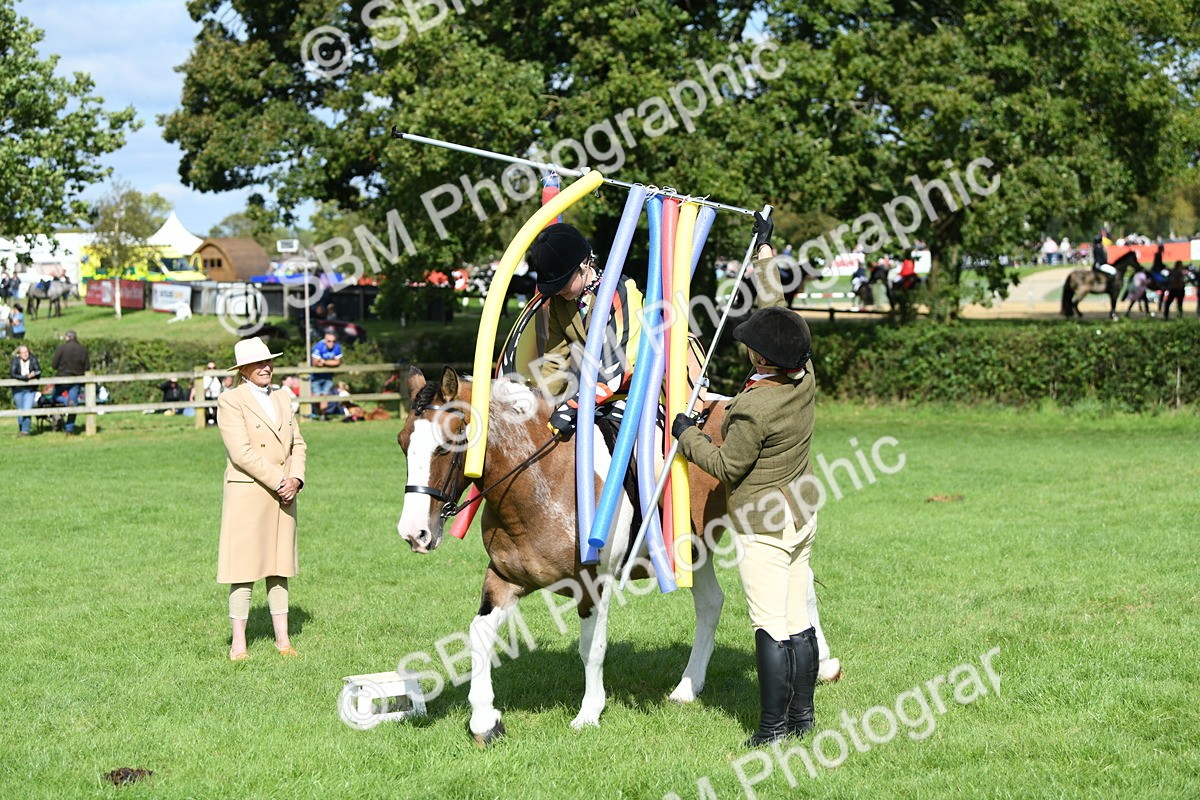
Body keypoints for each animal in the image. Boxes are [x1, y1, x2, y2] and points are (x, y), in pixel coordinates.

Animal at [396, 366, 732, 744]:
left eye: (447, 445)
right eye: (402, 442)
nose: (414, 533)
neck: (543, 480)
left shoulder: (593, 584)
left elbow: (592, 648)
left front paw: (589, 713)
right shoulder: (504, 578)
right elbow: (479, 634)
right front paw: (485, 719)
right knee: (710, 604)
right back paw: (687, 688)